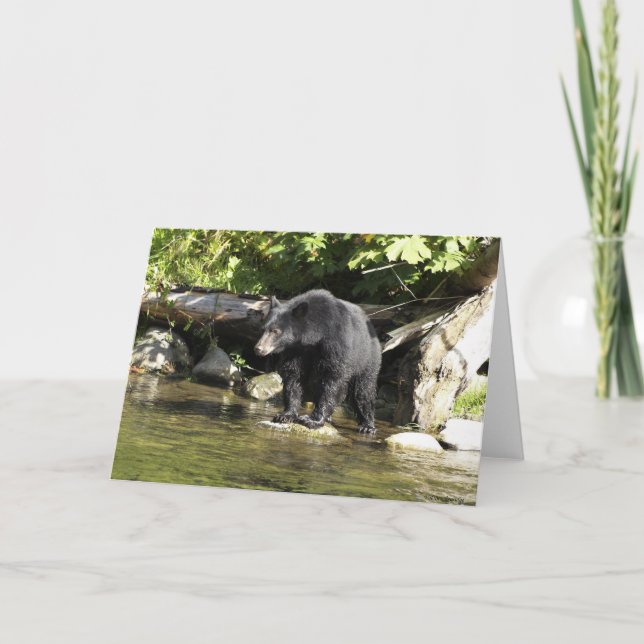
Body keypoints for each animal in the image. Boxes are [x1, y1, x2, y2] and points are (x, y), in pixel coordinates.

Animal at [254, 289, 382, 434]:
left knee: (363, 390)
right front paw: (285, 415)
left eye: (276, 331)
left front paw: (312, 420)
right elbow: (293, 377)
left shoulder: (336, 344)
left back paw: (367, 425)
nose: (258, 349)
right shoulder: (296, 351)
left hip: (366, 359)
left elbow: (332, 380)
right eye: (262, 329)